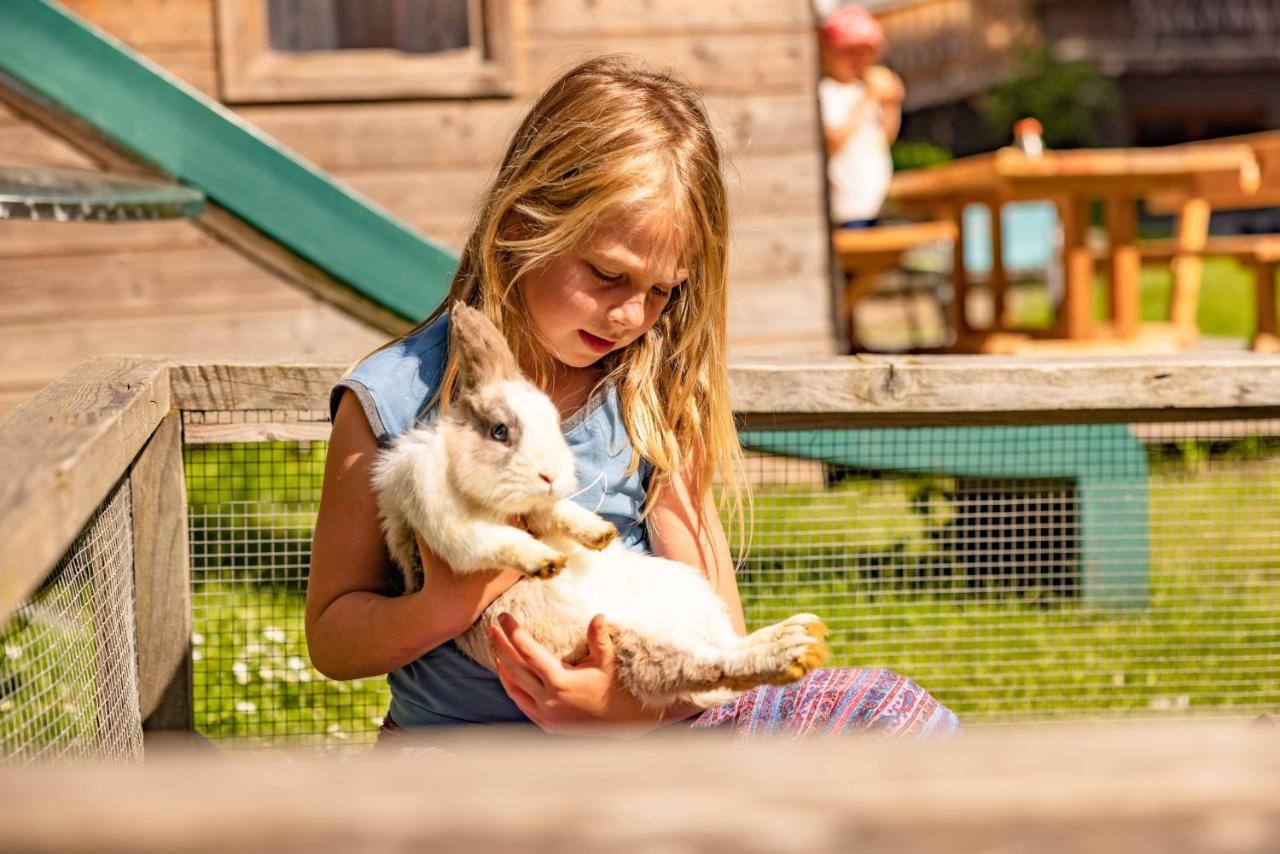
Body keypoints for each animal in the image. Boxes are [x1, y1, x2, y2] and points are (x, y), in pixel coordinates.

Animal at [371, 303, 829, 711]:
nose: (553, 474)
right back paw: (797, 648)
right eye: (500, 431)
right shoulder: (447, 524)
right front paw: (547, 563)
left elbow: (558, 515)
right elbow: (497, 541)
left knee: (721, 650)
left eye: (551, 423)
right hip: (635, 640)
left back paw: (800, 634)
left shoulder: (540, 510)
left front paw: (598, 535)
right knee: (708, 663)